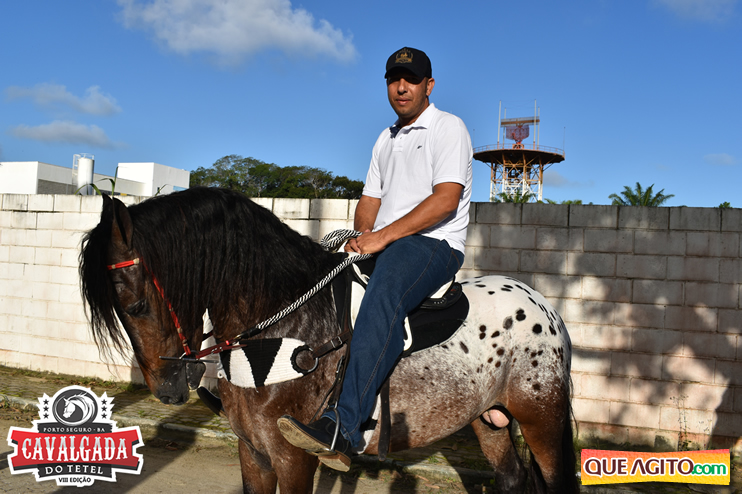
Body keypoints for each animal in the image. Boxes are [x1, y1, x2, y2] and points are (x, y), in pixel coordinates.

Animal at [79, 187, 577, 493]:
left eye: (134, 304)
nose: (166, 388)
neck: (280, 322)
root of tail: (545, 307)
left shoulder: (293, 457)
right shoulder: (252, 453)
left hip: (542, 418)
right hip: (489, 420)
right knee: (511, 478)